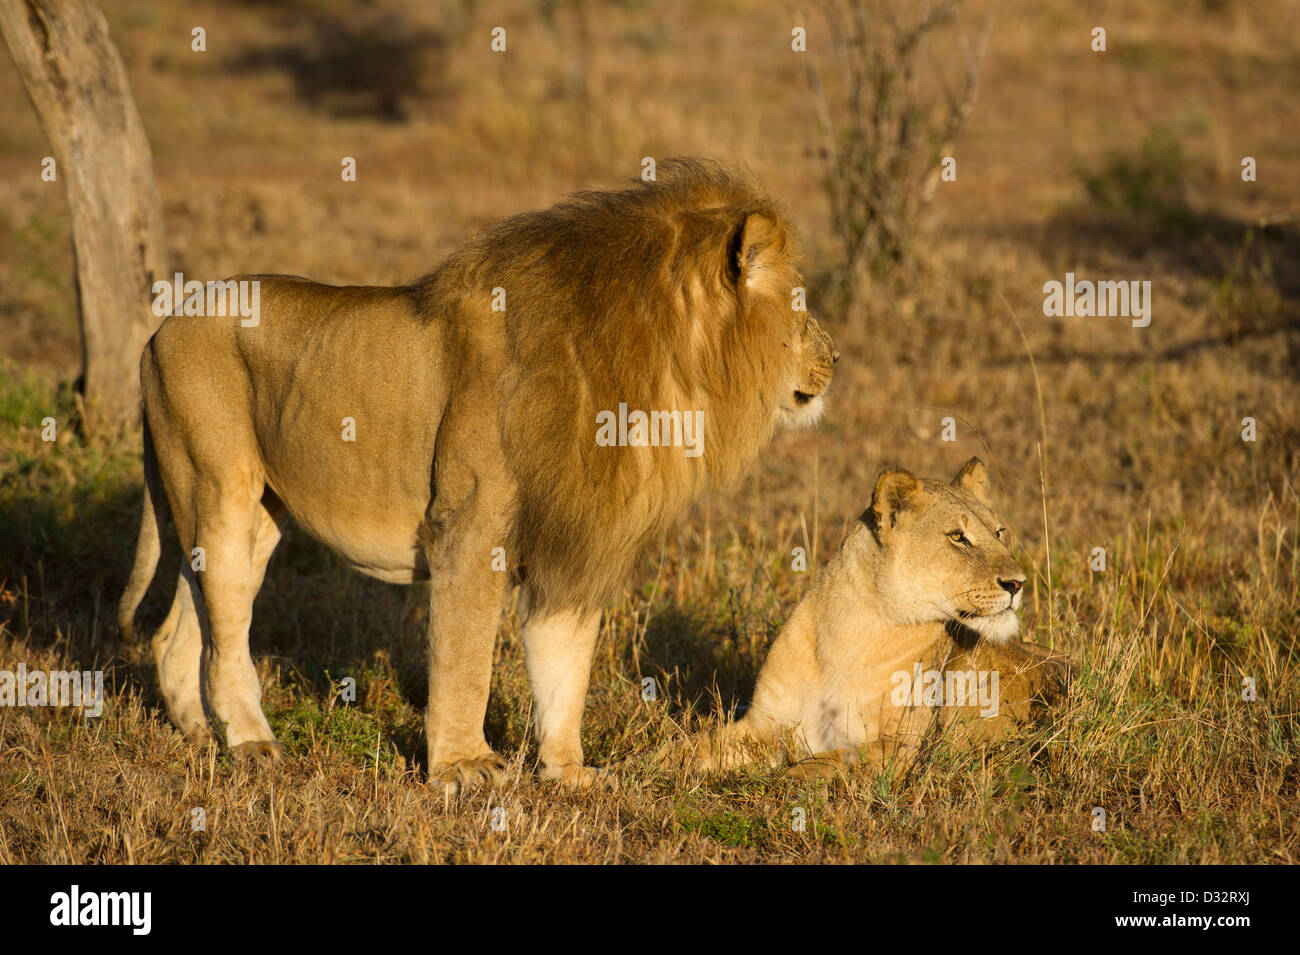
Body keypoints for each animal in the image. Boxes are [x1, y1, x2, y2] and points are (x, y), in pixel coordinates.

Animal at [117, 159, 837, 792]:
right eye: (800, 303)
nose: (835, 355)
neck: (657, 365)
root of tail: (161, 328)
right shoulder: (469, 526)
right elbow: (464, 659)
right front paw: (462, 767)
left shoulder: (572, 542)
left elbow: (563, 663)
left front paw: (568, 773)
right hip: (220, 494)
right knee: (223, 640)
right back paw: (251, 743)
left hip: (248, 521)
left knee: (183, 632)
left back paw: (197, 735)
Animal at [683, 458, 1072, 778]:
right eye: (958, 537)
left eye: (998, 532)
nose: (1018, 583)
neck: (849, 633)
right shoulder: (763, 724)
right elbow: (697, 745)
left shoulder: (902, 747)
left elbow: (824, 762)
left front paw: (778, 780)